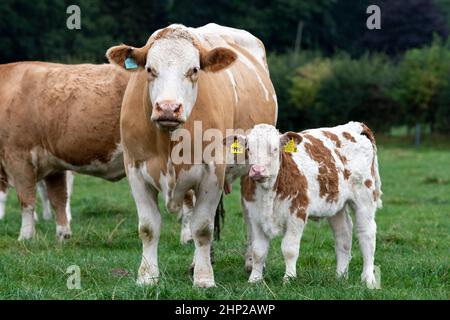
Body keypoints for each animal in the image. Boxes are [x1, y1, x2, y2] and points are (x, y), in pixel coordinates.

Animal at [107, 23, 278, 288]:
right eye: (149, 69)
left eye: (194, 70)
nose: (168, 108)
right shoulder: (135, 169)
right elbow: (148, 227)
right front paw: (147, 276)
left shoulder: (212, 172)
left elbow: (202, 228)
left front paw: (204, 278)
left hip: (251, 169)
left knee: (250, 216)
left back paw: (250, 261)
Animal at [227, 122, 382, 288]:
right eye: (248, 148)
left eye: (275, 148)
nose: (257, 170)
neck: (268, 193)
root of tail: (355, 126)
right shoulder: (255, 217)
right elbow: (258, 251)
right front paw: (254, 279)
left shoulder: (297, 213)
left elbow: (289, 249)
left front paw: (289, 278)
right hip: (336, 206)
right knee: (344, 235)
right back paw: (340, 277)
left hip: (365, 198)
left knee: (367, 234)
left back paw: (368, 279)